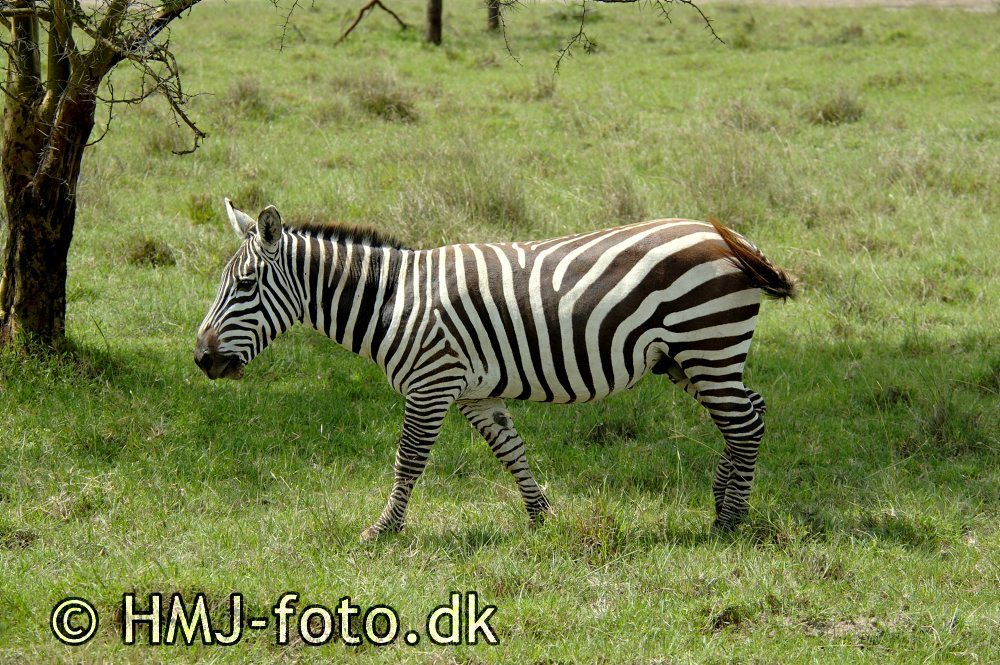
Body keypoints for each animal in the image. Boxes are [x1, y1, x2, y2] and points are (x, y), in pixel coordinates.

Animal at [195, 197, 796, 540]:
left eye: (244, 285)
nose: (201, 359)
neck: (392, 300)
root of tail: (724, 236)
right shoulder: (473, 393)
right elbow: (511, 451)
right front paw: (541, 517)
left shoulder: (431, 383)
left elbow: (408, 461)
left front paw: (385, 530)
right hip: (691, 357)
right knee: (749, 414)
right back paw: (721, 504)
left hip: (707, 341)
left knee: (745, 423)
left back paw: (730, 521)